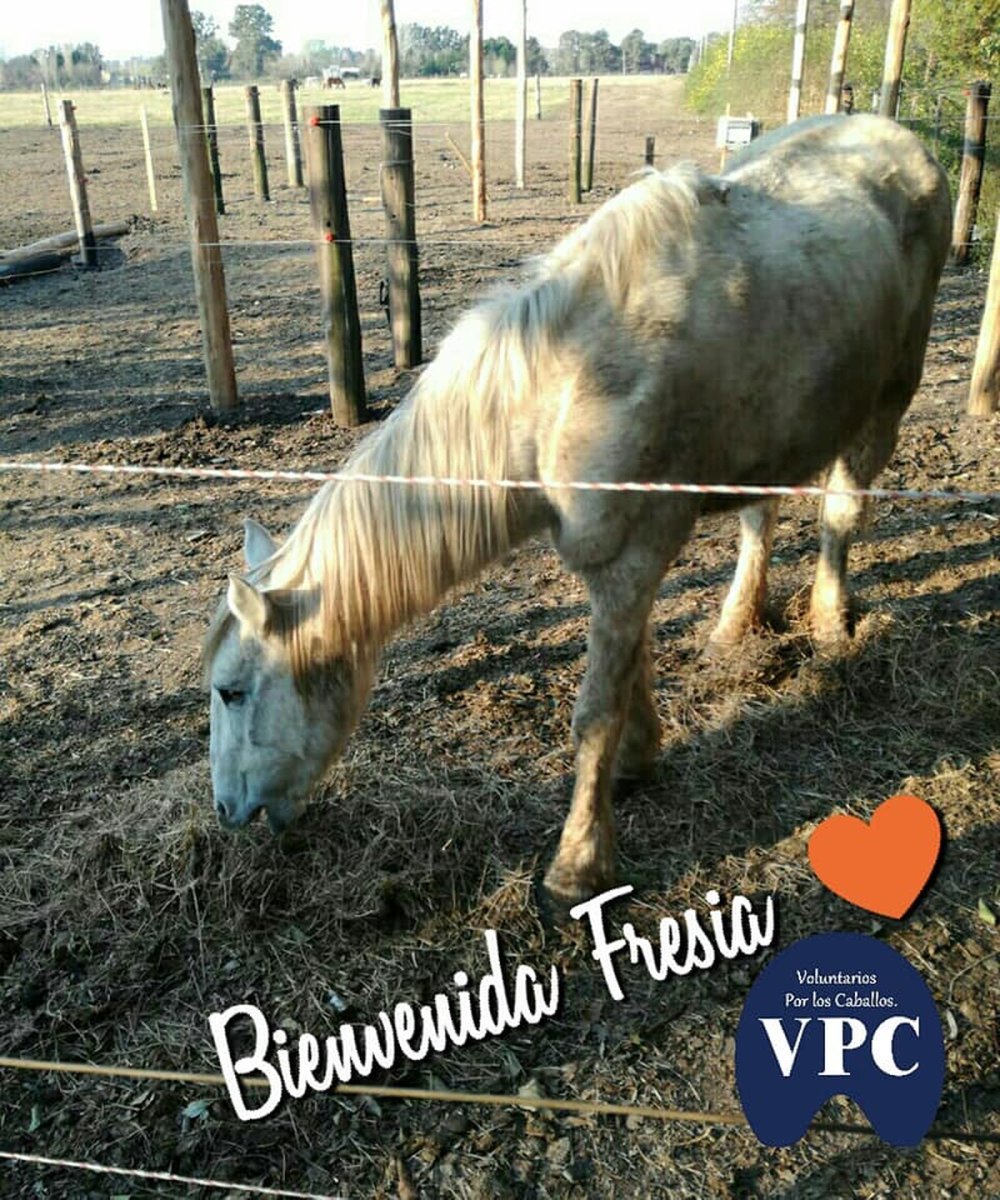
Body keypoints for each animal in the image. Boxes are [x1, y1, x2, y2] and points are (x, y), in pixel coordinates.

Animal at [203, 115, 950, 906]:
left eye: (231, 692)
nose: (224, 809)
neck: (564, 384)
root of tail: (899, 137)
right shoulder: (617, 560)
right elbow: (632, 667)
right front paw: (637, 761)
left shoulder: (631, 558)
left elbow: (595, 710)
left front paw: (577, 864)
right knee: (761, 520)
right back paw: (735, 624)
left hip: (887, 398)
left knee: (840, 514)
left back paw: (832, 623)